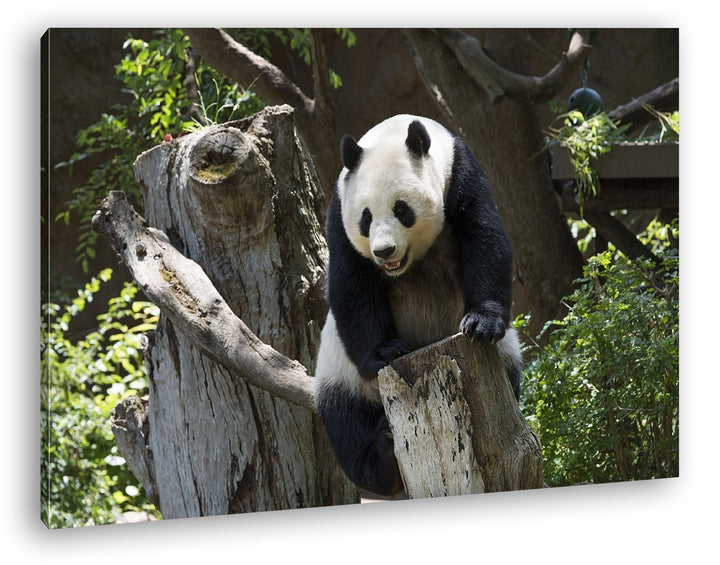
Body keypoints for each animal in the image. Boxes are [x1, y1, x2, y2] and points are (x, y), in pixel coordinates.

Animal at [314, 114, 522, 496]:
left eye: (402, 209)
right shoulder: (339, 208)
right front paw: (386, 351)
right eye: (366, 218)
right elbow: (351, 281)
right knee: (346, 425)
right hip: (340, 374)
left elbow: (484, 236)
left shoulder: (461, 173)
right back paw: (382, 455)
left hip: (507, 357)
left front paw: (480, 323)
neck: (392, 134)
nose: (384, 251)